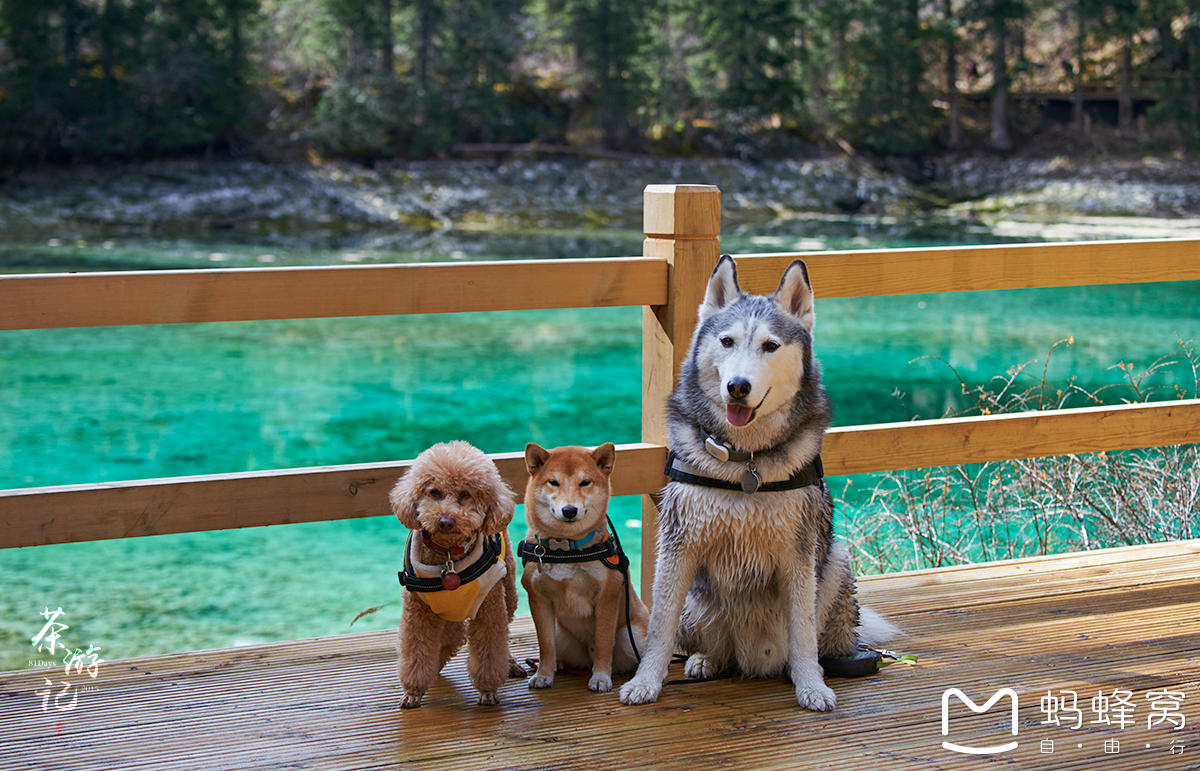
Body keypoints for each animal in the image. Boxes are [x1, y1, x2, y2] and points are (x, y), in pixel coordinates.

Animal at [516, 441, 648, 691]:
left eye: (585, 482)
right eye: (554, 482)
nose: (569, 510)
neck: (565, 549)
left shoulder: (607, 596)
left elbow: (604, 643)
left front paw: (601, 677)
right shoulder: (538, 598)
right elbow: (545, 645)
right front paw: (543, 674)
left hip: (632, 635)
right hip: (561, 631)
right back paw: (558, 664)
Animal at [624, 253, 897, 710]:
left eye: (770, 345)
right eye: (727, 342)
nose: (737, 387)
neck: (744, 463)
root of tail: (752, 660)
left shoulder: (797, 555)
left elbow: (802, 633)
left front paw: (811, 685)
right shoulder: (679, 548)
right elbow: (660, 630)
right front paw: (645, 682)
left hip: (836, 561)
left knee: (820, 640)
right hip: (697, 604)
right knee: (710, 646)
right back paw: (707, 660)